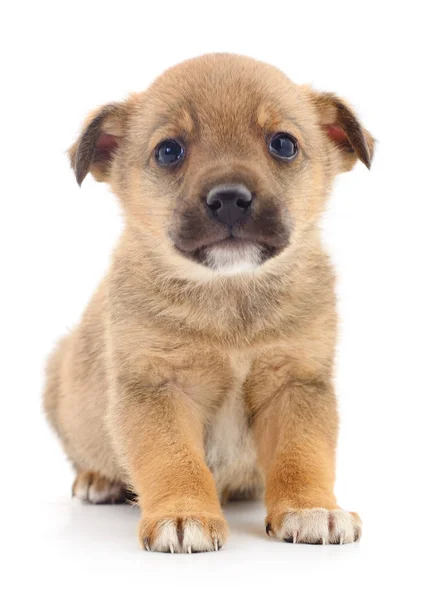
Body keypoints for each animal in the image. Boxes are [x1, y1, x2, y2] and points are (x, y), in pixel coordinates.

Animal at [45, 52, 374, 552]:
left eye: (283, 144)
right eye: (168, 151)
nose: (230, 199)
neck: (228, 294)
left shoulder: (295, 383)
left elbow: (303, 454)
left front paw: (310, 508)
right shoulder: (158, 387)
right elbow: (174, 459)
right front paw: (184, 514)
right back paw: (99, 479)